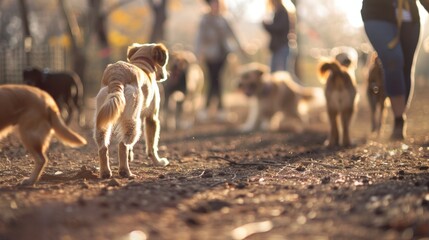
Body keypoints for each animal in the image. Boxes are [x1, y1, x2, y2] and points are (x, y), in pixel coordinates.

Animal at [93, 42, 169, 178]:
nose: (164, 76)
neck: (142, 62)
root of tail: (117, 76)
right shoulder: (152, 117)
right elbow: (152, 146)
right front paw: (158, 162)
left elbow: (131, 148)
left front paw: (130, 157)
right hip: (132, 121)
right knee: (122, 145)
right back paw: (125, 172)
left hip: (102, 119)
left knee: (103, 147)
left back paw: (105, 172)